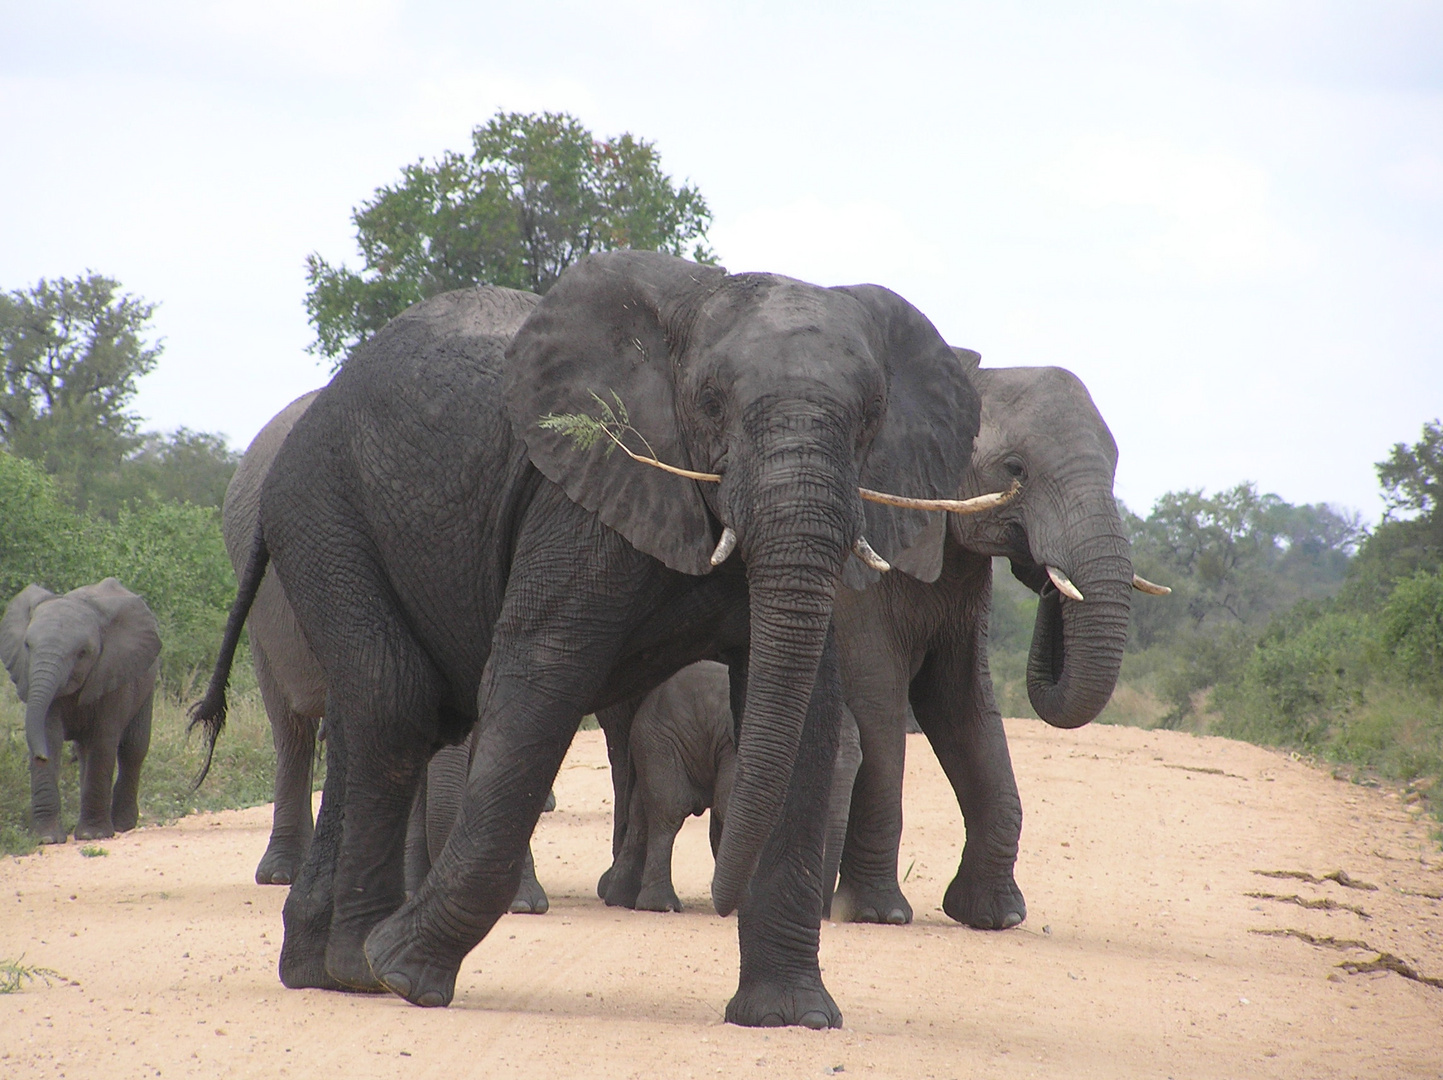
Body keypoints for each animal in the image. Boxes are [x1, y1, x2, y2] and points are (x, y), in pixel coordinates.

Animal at [0, 583, 160, 843]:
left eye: (83, 653)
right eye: (27, 646)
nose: (39, 756)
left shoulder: (112, 675)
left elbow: (103, 741)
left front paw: (93, 835)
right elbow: (49, 734)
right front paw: (47, 839)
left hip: (146, 683)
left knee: (132, 750)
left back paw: (123, 825)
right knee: (86, 752)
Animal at [189, 246, 981, 1028]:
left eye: (871, 418)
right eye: (711, 403)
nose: (718, 900)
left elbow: (803, 711)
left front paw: (791, 1018)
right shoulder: (587, 489)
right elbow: (542, 675)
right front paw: (406, 974)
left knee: (378, 714)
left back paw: (319, 970)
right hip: (322, 509)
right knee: (395, 704)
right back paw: (360, 968)